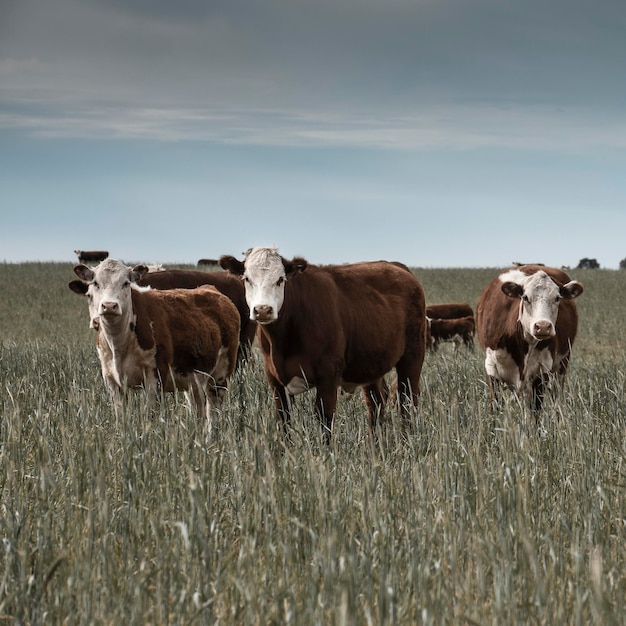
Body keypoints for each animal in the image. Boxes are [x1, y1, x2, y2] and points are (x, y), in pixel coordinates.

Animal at [67, 256, 239, 426]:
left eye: (126, 283)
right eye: (95, 283)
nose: (109, 306)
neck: (119, 344)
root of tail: (211, 290)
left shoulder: (155, 376)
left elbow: (150, 415)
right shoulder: (111, 380)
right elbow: (120, 417)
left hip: (220, 376)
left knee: (213, 413)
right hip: (192, 379)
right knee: (198, 409)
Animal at [217, 244, 426, 438]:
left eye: (280, 280)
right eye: (247, 279)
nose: (262, 310)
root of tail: (396, 266)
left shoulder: (328, 376)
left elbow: (324, 421)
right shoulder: (275, 380)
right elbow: (284, 422)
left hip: (412, 356)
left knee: (408, 400)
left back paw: (408, 441)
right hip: (371, 364)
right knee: (376, 401)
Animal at [476, 264, 584, 414]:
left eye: (557, 298)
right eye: (526, 297)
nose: (543, 327)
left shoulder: (541, 371)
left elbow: (535, 410)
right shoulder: (491, 367)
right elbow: (495, 406)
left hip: (561, 364)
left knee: (556, 399)